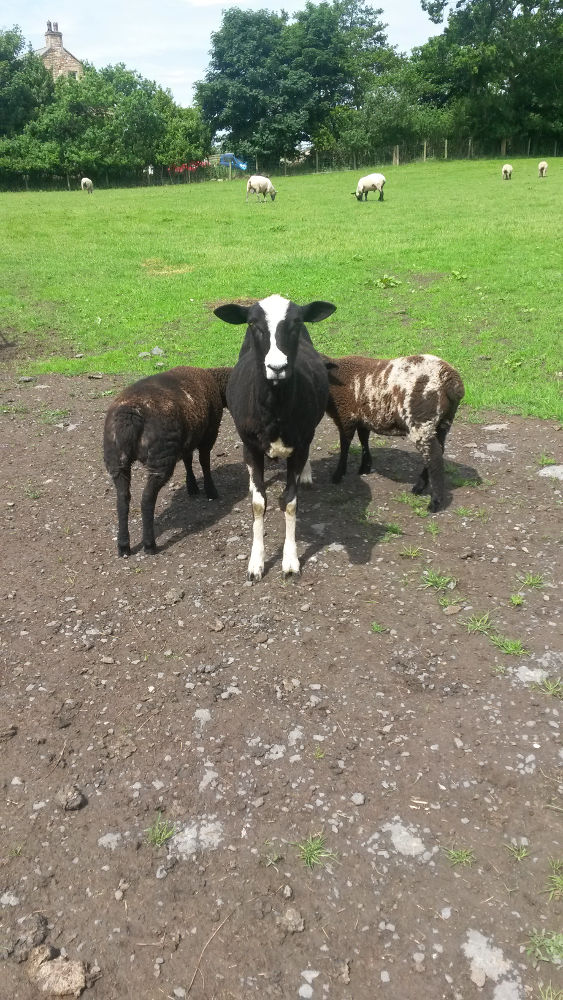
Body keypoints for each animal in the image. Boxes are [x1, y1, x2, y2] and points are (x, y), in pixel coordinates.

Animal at [103, 366, 231, 556]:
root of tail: (130, 416)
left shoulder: (188, 440)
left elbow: (188, 460)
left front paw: (192, 486)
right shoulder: (209, 433)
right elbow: (204, 462)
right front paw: (211, 491)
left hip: (116, 459)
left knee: (122, 499)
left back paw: (124, 546)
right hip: (160, 457)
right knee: (147, 499)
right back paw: (149, 545)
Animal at [216, 292, 334, 584]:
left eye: (296, 322)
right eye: (253, 324)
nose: (277, 367)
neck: (275, 408)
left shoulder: (300, 445)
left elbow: (290, 504)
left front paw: (290, 560)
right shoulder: (251, 446)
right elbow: (258, 505)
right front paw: (256, 563)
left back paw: (306, 475)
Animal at [326, 352, 468, 512]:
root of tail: (452, 380)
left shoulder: (346, 416)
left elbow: (345, 446)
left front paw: (338, 474)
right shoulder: (362, 417)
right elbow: (363, 439)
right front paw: (365, 467)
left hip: (421, 421)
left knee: (434, 457)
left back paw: (434, 501)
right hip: (444, 422)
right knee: (437, 451)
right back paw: (420, 486)